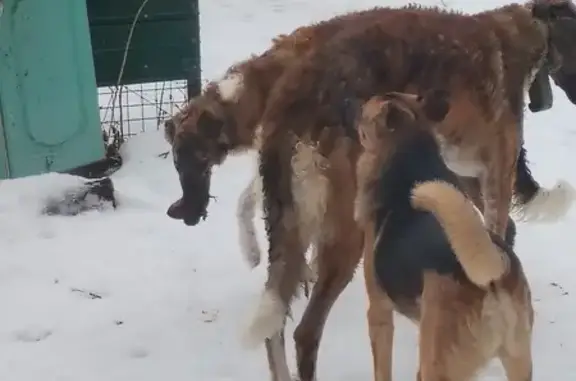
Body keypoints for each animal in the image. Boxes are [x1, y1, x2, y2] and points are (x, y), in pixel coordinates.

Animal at [358, 90, 532, 380]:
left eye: (363, 112)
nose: (347, 103)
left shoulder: (378, 312)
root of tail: (494, 279)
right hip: (518, 359)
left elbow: (382, 369)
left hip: (440, 364)